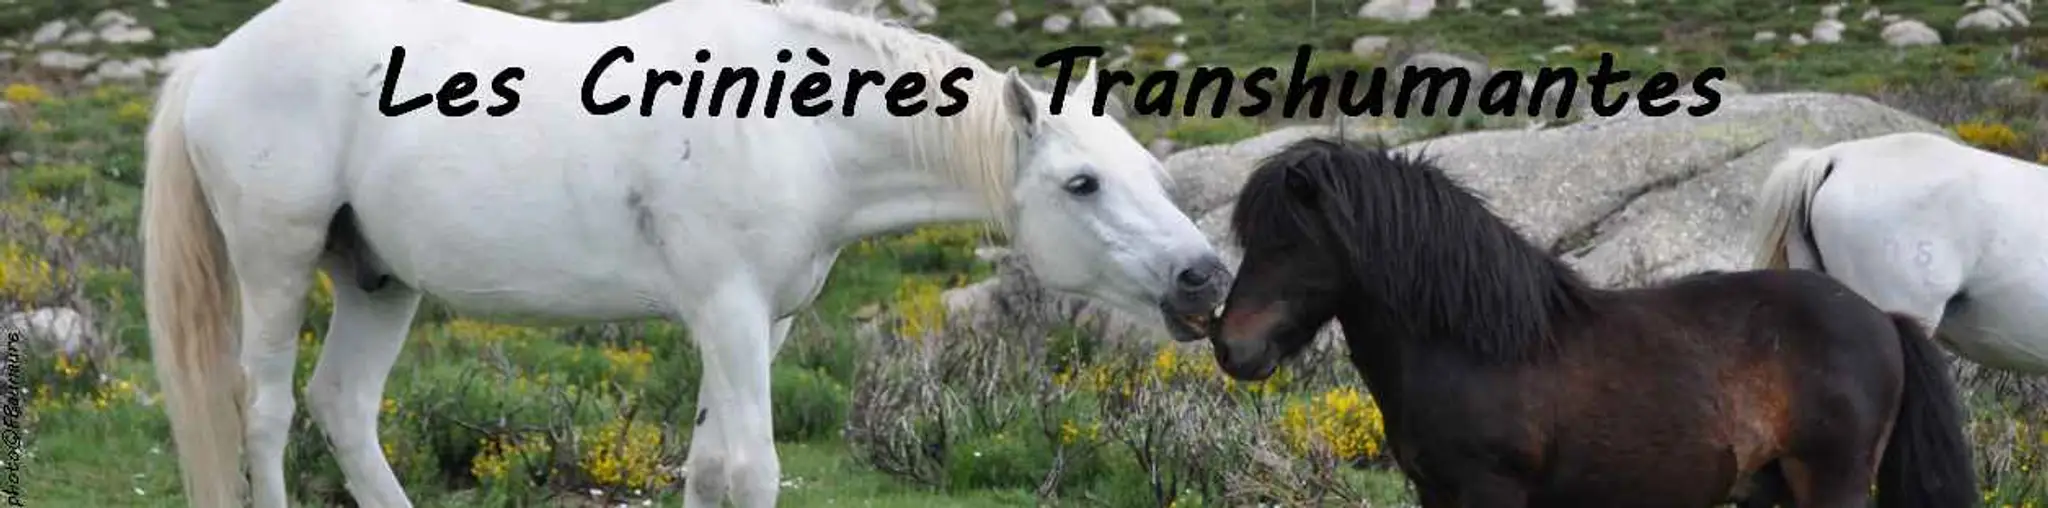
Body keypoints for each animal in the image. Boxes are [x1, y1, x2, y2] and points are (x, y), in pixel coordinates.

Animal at [139, 0, 1232, 507]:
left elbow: (708, 465)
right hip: (275, 265)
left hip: (378, 281)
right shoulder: (729, 314)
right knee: (265, 412)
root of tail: (215, 61)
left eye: (1144, 168)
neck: (795, 125)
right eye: (1081, 184)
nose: (1206, 277)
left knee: (344, 406)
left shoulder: (760, 324)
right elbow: (750, 467)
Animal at [1202, 137, 1977, 507]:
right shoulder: (1436, 494)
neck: (1472, 343)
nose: (1231, 346)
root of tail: (1881, 318)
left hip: (1830, 483)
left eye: (1286, 242)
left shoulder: (1491, 492)